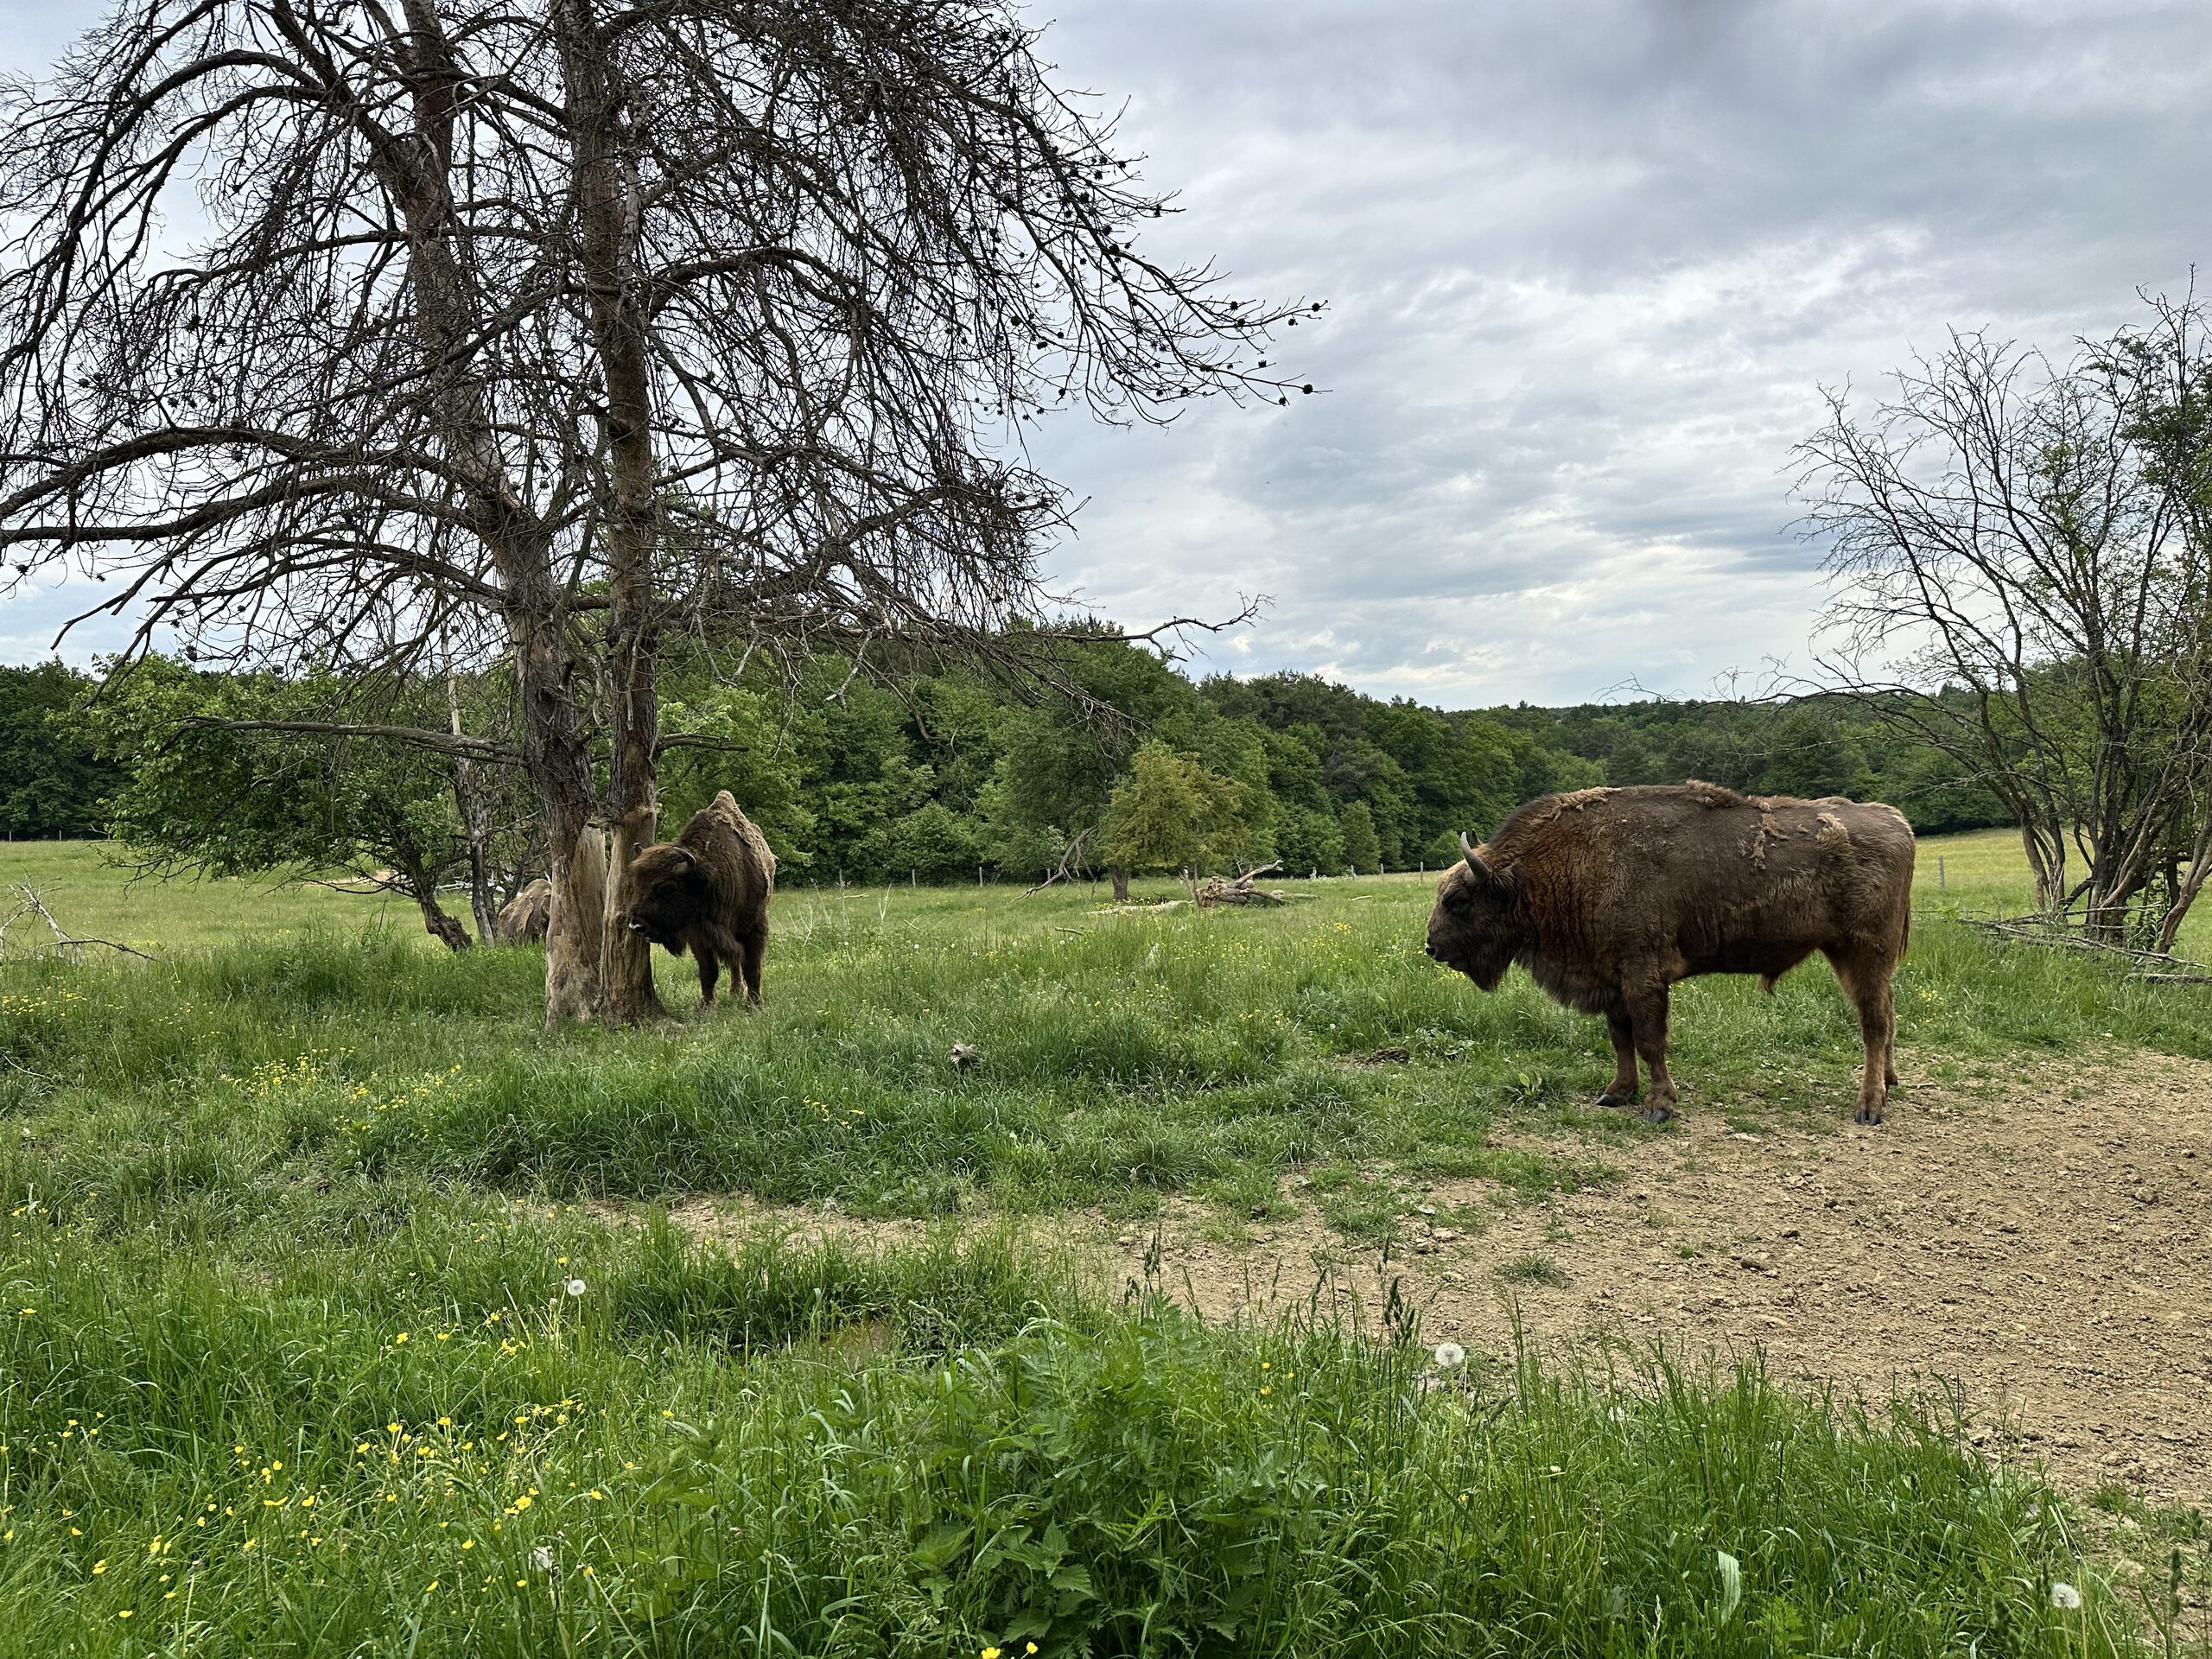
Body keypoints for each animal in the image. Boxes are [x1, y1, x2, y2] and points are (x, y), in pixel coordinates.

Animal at [621, 790, 776, 1007]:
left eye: (668, 887)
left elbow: (752, 967)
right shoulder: (699, 934)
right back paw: (735, 991)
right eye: (635, 884)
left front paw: (754, 1003)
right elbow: (708, 972)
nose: (637, 926)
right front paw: (706, 1006)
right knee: (732, 961)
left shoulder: (755, 926)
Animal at [1426, 782, 1914, 1124]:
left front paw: (1658, 1105)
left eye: (1459, 900)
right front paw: (1615, 1093)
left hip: (1864, 953)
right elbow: (1620, 1038)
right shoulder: (1612, 978)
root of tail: (1897, 821)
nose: (1432, 946)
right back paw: (1890, 1083)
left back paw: (1870, 1107)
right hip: (1855, 958)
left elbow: (1649, 1039)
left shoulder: (1643, 974)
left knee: (1874, 1024)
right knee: (1888, 1016)